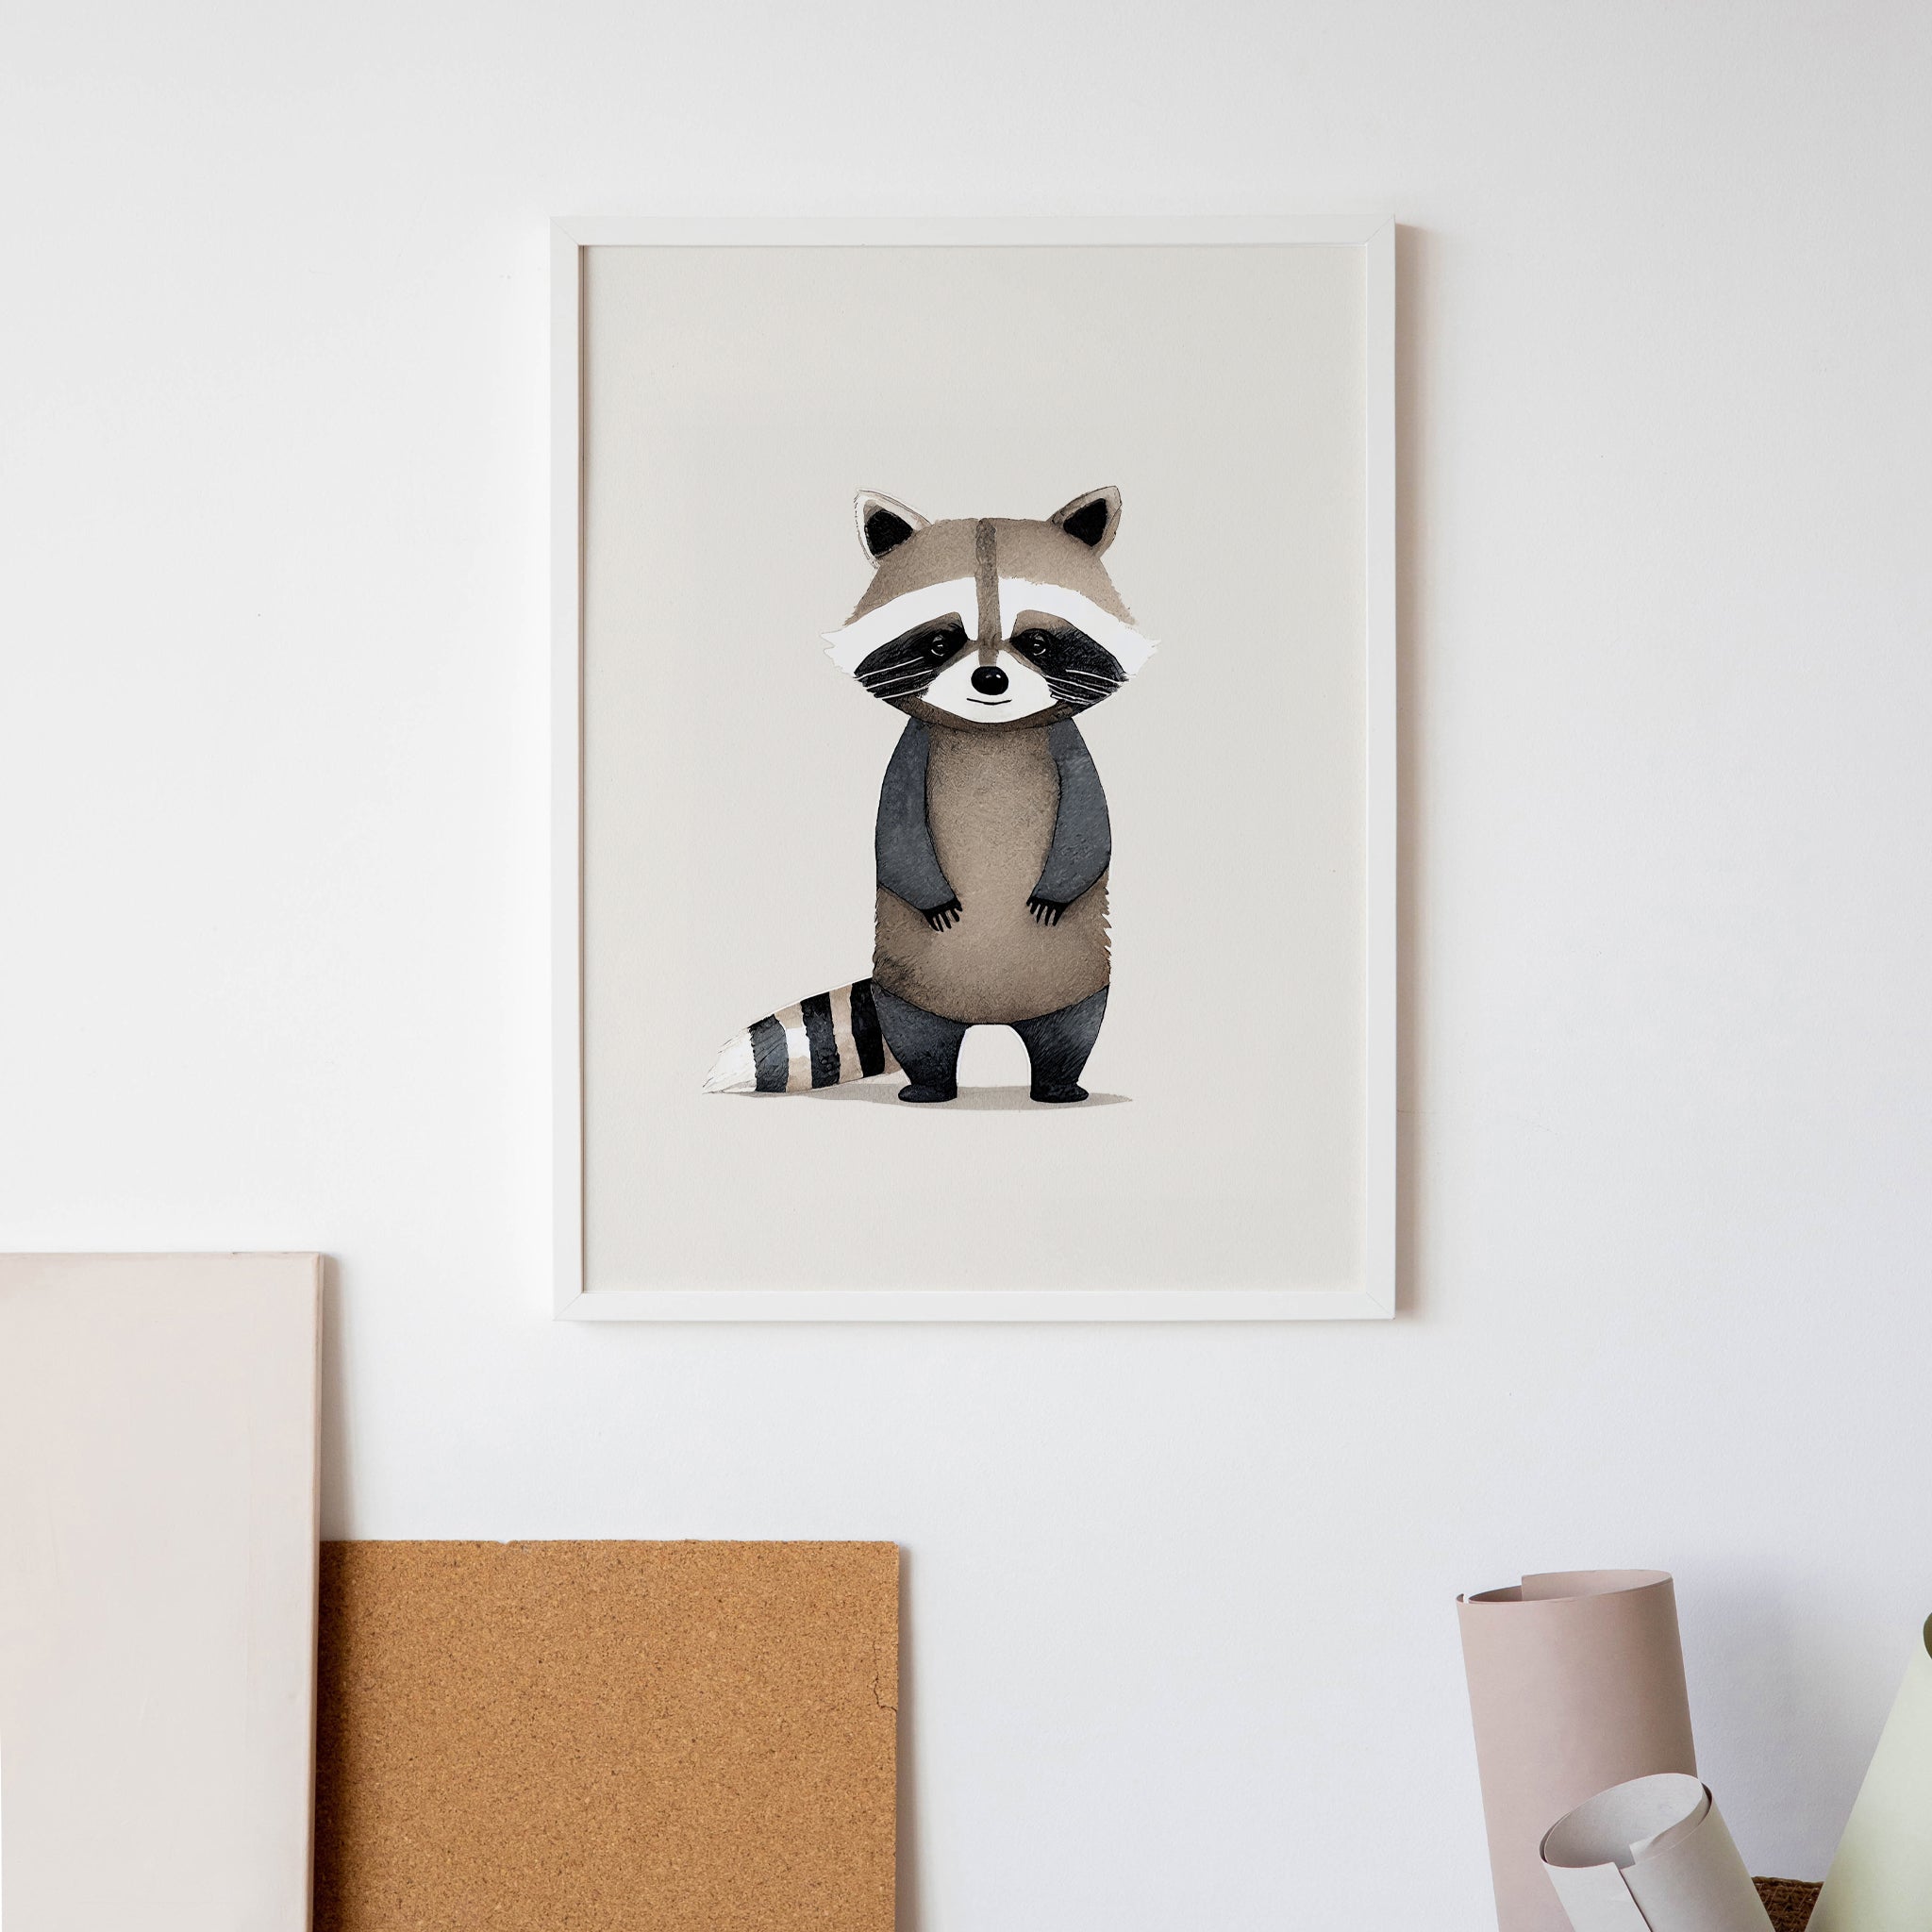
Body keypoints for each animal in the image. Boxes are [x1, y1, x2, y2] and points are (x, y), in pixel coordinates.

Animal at [704, 486, 1155, 1104]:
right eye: (942, 641)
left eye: (1036, 641)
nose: (990, 680)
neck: (988, 733)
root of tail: (990, 1015)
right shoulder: (912, 751)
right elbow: (893, 835)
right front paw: (931, 894)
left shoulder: (1068, 747)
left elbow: (1093, 825)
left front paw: (1056, 889)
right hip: (905, 973)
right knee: (916, 1030)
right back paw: (929, 1085)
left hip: (1077, 972)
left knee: (1075, 1028)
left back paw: (1059, 1083)